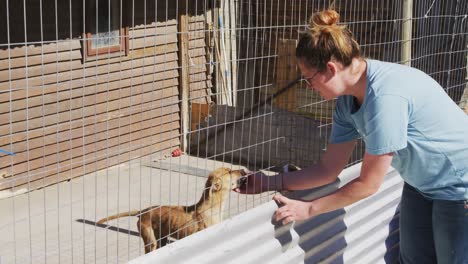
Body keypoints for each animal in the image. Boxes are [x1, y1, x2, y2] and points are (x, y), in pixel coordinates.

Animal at [97, 167, 247, 254]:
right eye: (229, 171)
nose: (244, 170)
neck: (212, 206)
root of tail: (143, 211)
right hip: (151, 242)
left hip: (161, 239)